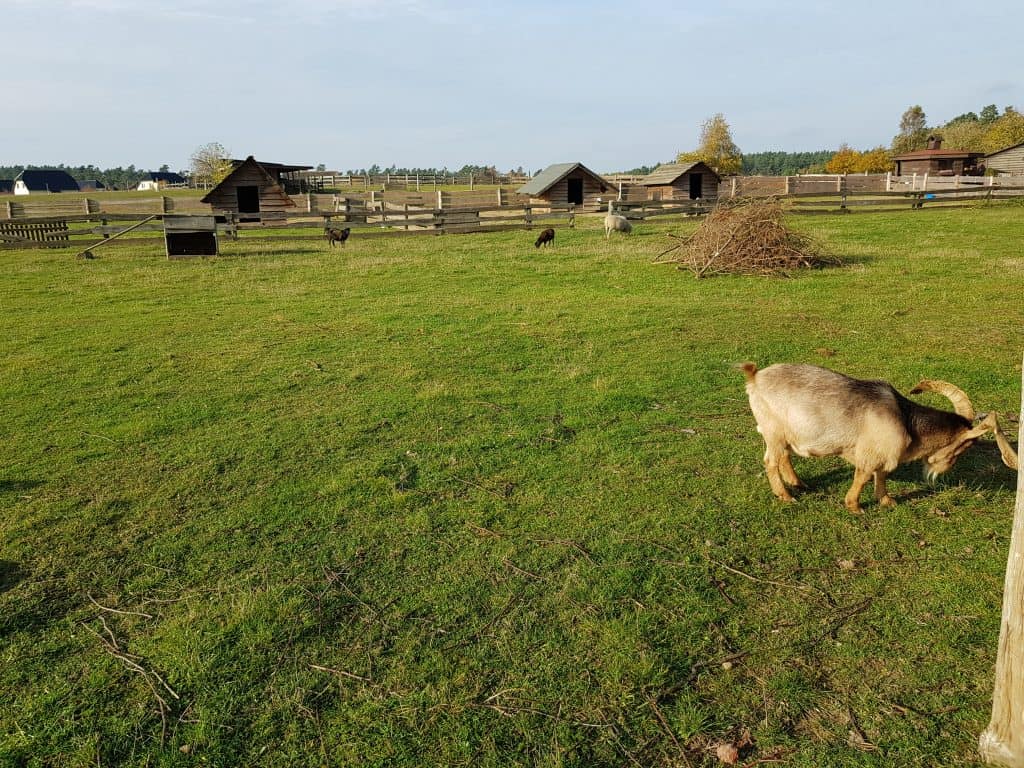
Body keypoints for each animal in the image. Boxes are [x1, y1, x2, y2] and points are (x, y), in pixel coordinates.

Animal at [740, 362, 1018, 513]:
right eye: (965, 446)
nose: (938, 472)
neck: (905, 420)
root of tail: (755, 377)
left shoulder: (884, 456)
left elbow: (882, 475)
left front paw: (886, 500)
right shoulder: (870, 454)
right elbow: (863, 476)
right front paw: (855, 506)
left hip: (784, 434)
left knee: (785, 457)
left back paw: (799, 484)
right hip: (774, 432)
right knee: (771, 461)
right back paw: (786, 496)